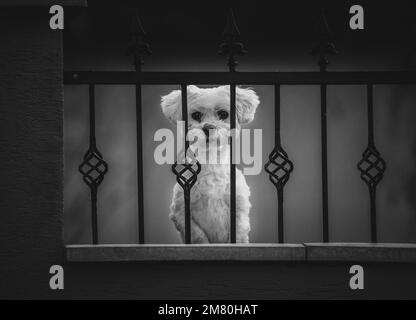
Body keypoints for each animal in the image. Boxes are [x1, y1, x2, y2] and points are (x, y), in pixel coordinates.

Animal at [161, 85, 258, 242]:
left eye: (223, 114)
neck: (212, 163)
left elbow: (238, 235)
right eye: (196, 115)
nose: (208, 127)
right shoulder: (181, 212)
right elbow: (199, 236)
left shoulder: (240, 210)